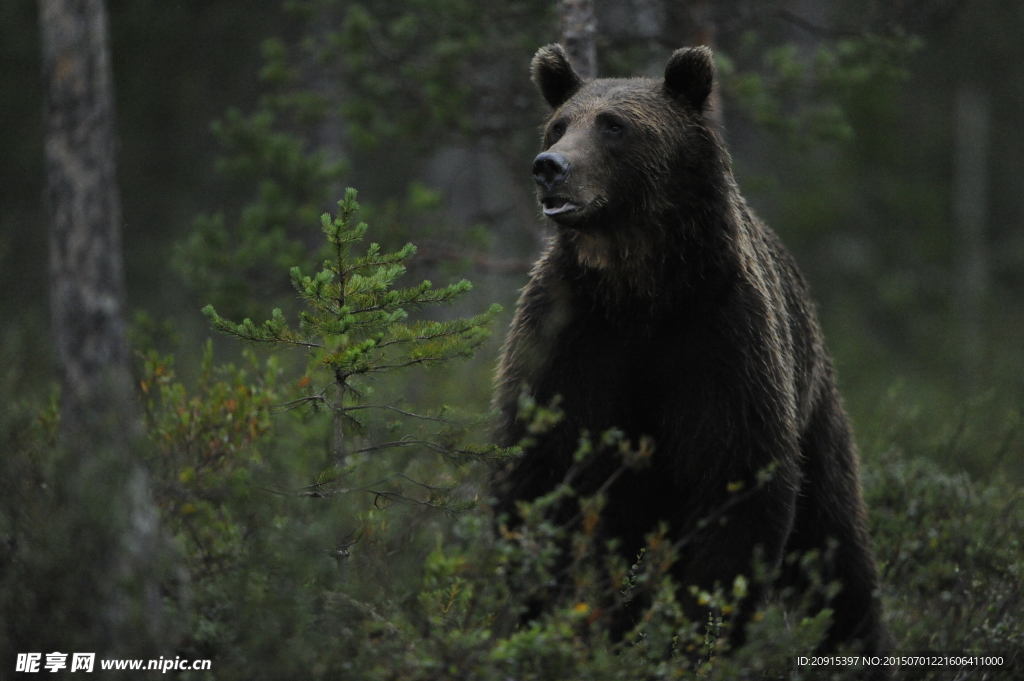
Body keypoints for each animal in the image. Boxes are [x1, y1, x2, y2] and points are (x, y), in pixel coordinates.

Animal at [491, 43, 892, 663]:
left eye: (614, 125)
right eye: (559, 124)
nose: (549, 166)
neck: (638, 289)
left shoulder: (719, 338)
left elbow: (739, 479)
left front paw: (698, 632)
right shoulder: (571, 339)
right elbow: (537, 467)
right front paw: (536, 617)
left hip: (817, 410)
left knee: (834, 544)